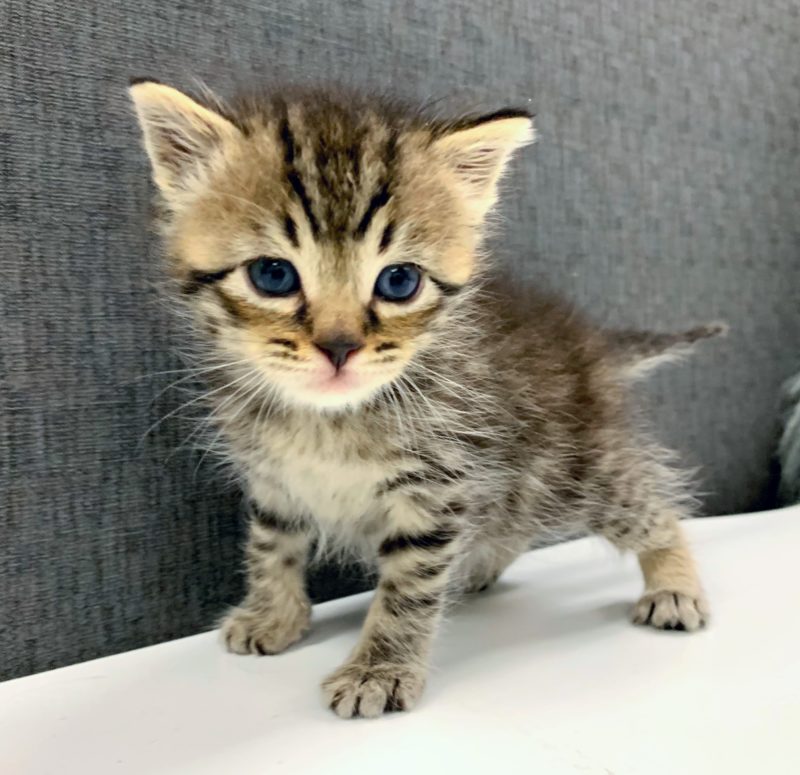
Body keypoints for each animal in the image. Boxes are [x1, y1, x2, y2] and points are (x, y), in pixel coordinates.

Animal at [128, 82, 720, 720]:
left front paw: (379, 669)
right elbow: (271, 545)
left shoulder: (439, 488)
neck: (328, 420)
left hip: (576, 471)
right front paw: (274, 614)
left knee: (654, 506)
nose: (340, 347)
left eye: (399, 282)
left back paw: (675, 584)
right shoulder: (274, 480)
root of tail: (587, 344)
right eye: (272, 275)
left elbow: (408, 588)